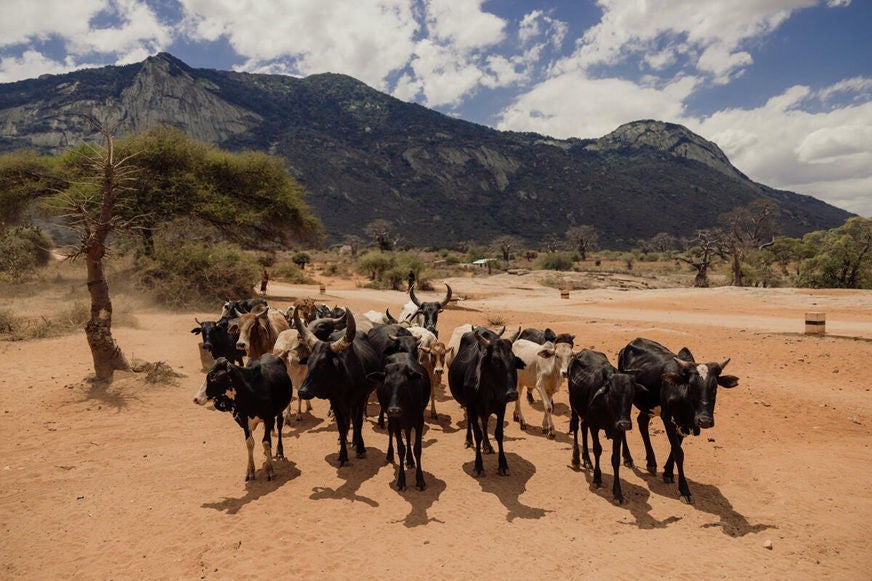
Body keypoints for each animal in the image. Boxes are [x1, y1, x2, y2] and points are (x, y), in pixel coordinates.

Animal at [294, 306, 381, 466]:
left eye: (323, 364)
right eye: (308, 362)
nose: (302, 392)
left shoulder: (359, 400)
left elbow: (358, 422)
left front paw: (360, 447)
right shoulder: (335, 402)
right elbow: (341, 425)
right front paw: (342, 454)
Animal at [370, 351, 431, 491]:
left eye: (404, 385)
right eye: (386, 385)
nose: (394, 410)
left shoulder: (419, 421)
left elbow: (417, 448)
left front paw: (420, 480)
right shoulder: (396, 422)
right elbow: (401, 448)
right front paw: (401, 480)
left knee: (408, 435)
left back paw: (410, 460)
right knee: (390, 431)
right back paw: (389, 454)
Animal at [448, 326, 524, 476]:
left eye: (514, 361)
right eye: (495, 360)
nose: (512, 394)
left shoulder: (501, 407)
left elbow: (499, 433)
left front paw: (503, 464)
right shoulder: (472, 406)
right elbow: (477, 433)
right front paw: (478, 465)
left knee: (484, 422)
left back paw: (487, 445)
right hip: (469, 406)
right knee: (471, 422)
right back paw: (468, 440)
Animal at [567, 349, 644, 504]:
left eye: (632, 396)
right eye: (612, 395)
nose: (624, 424)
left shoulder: (617, 432)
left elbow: (615, 459)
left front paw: (618, 492)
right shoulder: (595, 427)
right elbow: (597, 449)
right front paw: (597, 478)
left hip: (586, 415)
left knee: (583, 427)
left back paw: (587, 460)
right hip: (573, 407)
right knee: (576, 427)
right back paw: (576, 458)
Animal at [618, 337, 739, 504]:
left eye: (714, 387)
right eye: (691, 386)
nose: (705, 420)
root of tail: (629, 344)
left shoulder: (684, 424)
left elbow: (675, 449)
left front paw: (668, 473)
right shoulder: (668, 419)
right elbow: (678, 452)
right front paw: (684, 490)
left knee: (642, 422)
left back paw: (651, 462)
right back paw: (628, 458)